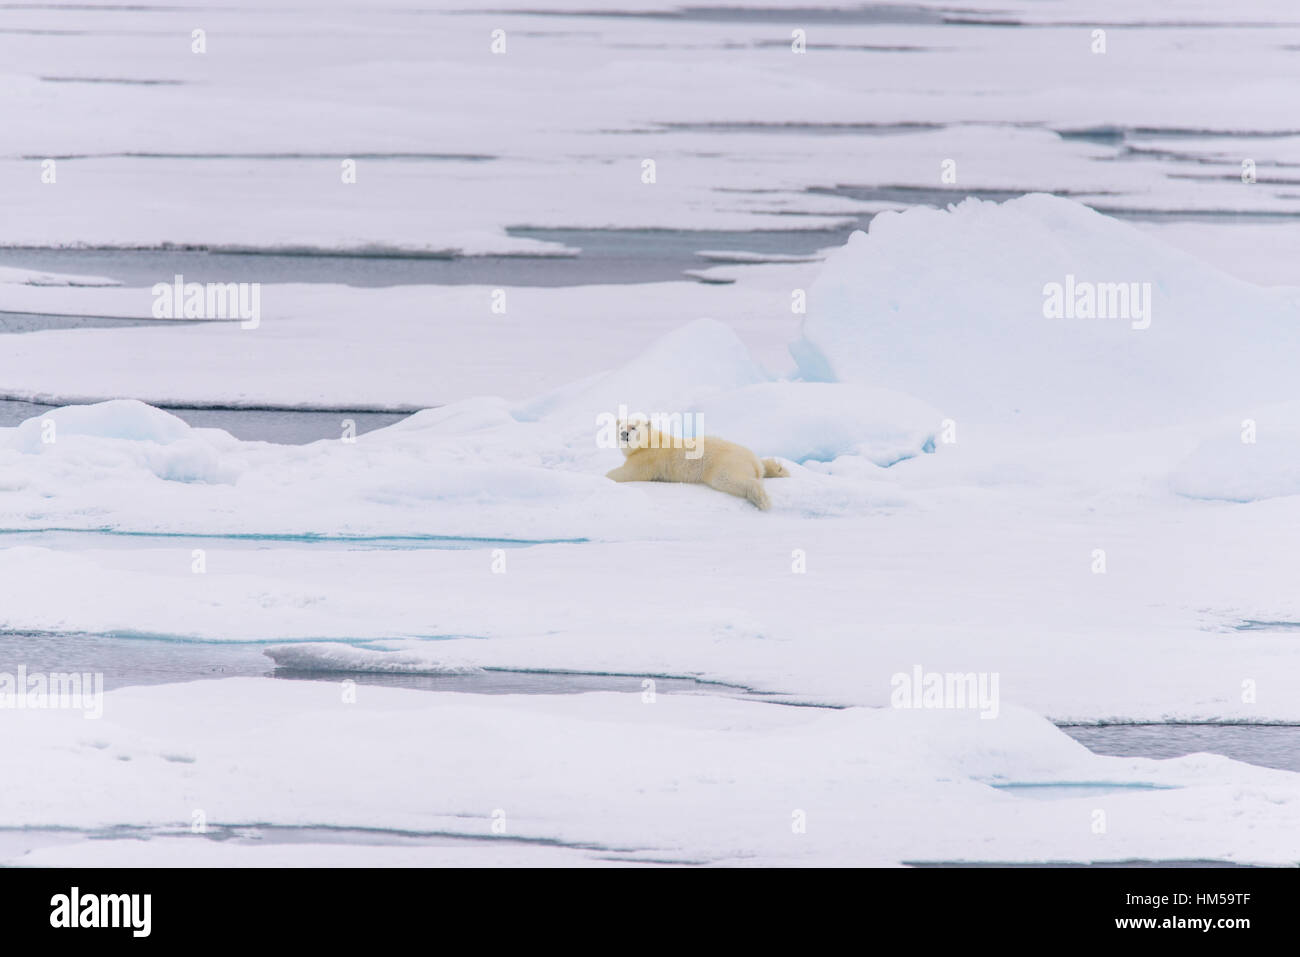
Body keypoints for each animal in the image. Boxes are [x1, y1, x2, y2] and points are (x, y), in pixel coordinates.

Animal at [603, 418, 785, 509]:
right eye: (621, 427)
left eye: (633, 427)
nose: (624, 434)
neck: (650, 442)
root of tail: (752, 461)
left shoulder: (648, 458)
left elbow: (629, 472)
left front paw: (604, 476)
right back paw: (778, 469)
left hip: (723, 463)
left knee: (730, 479)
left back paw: (762, 500)